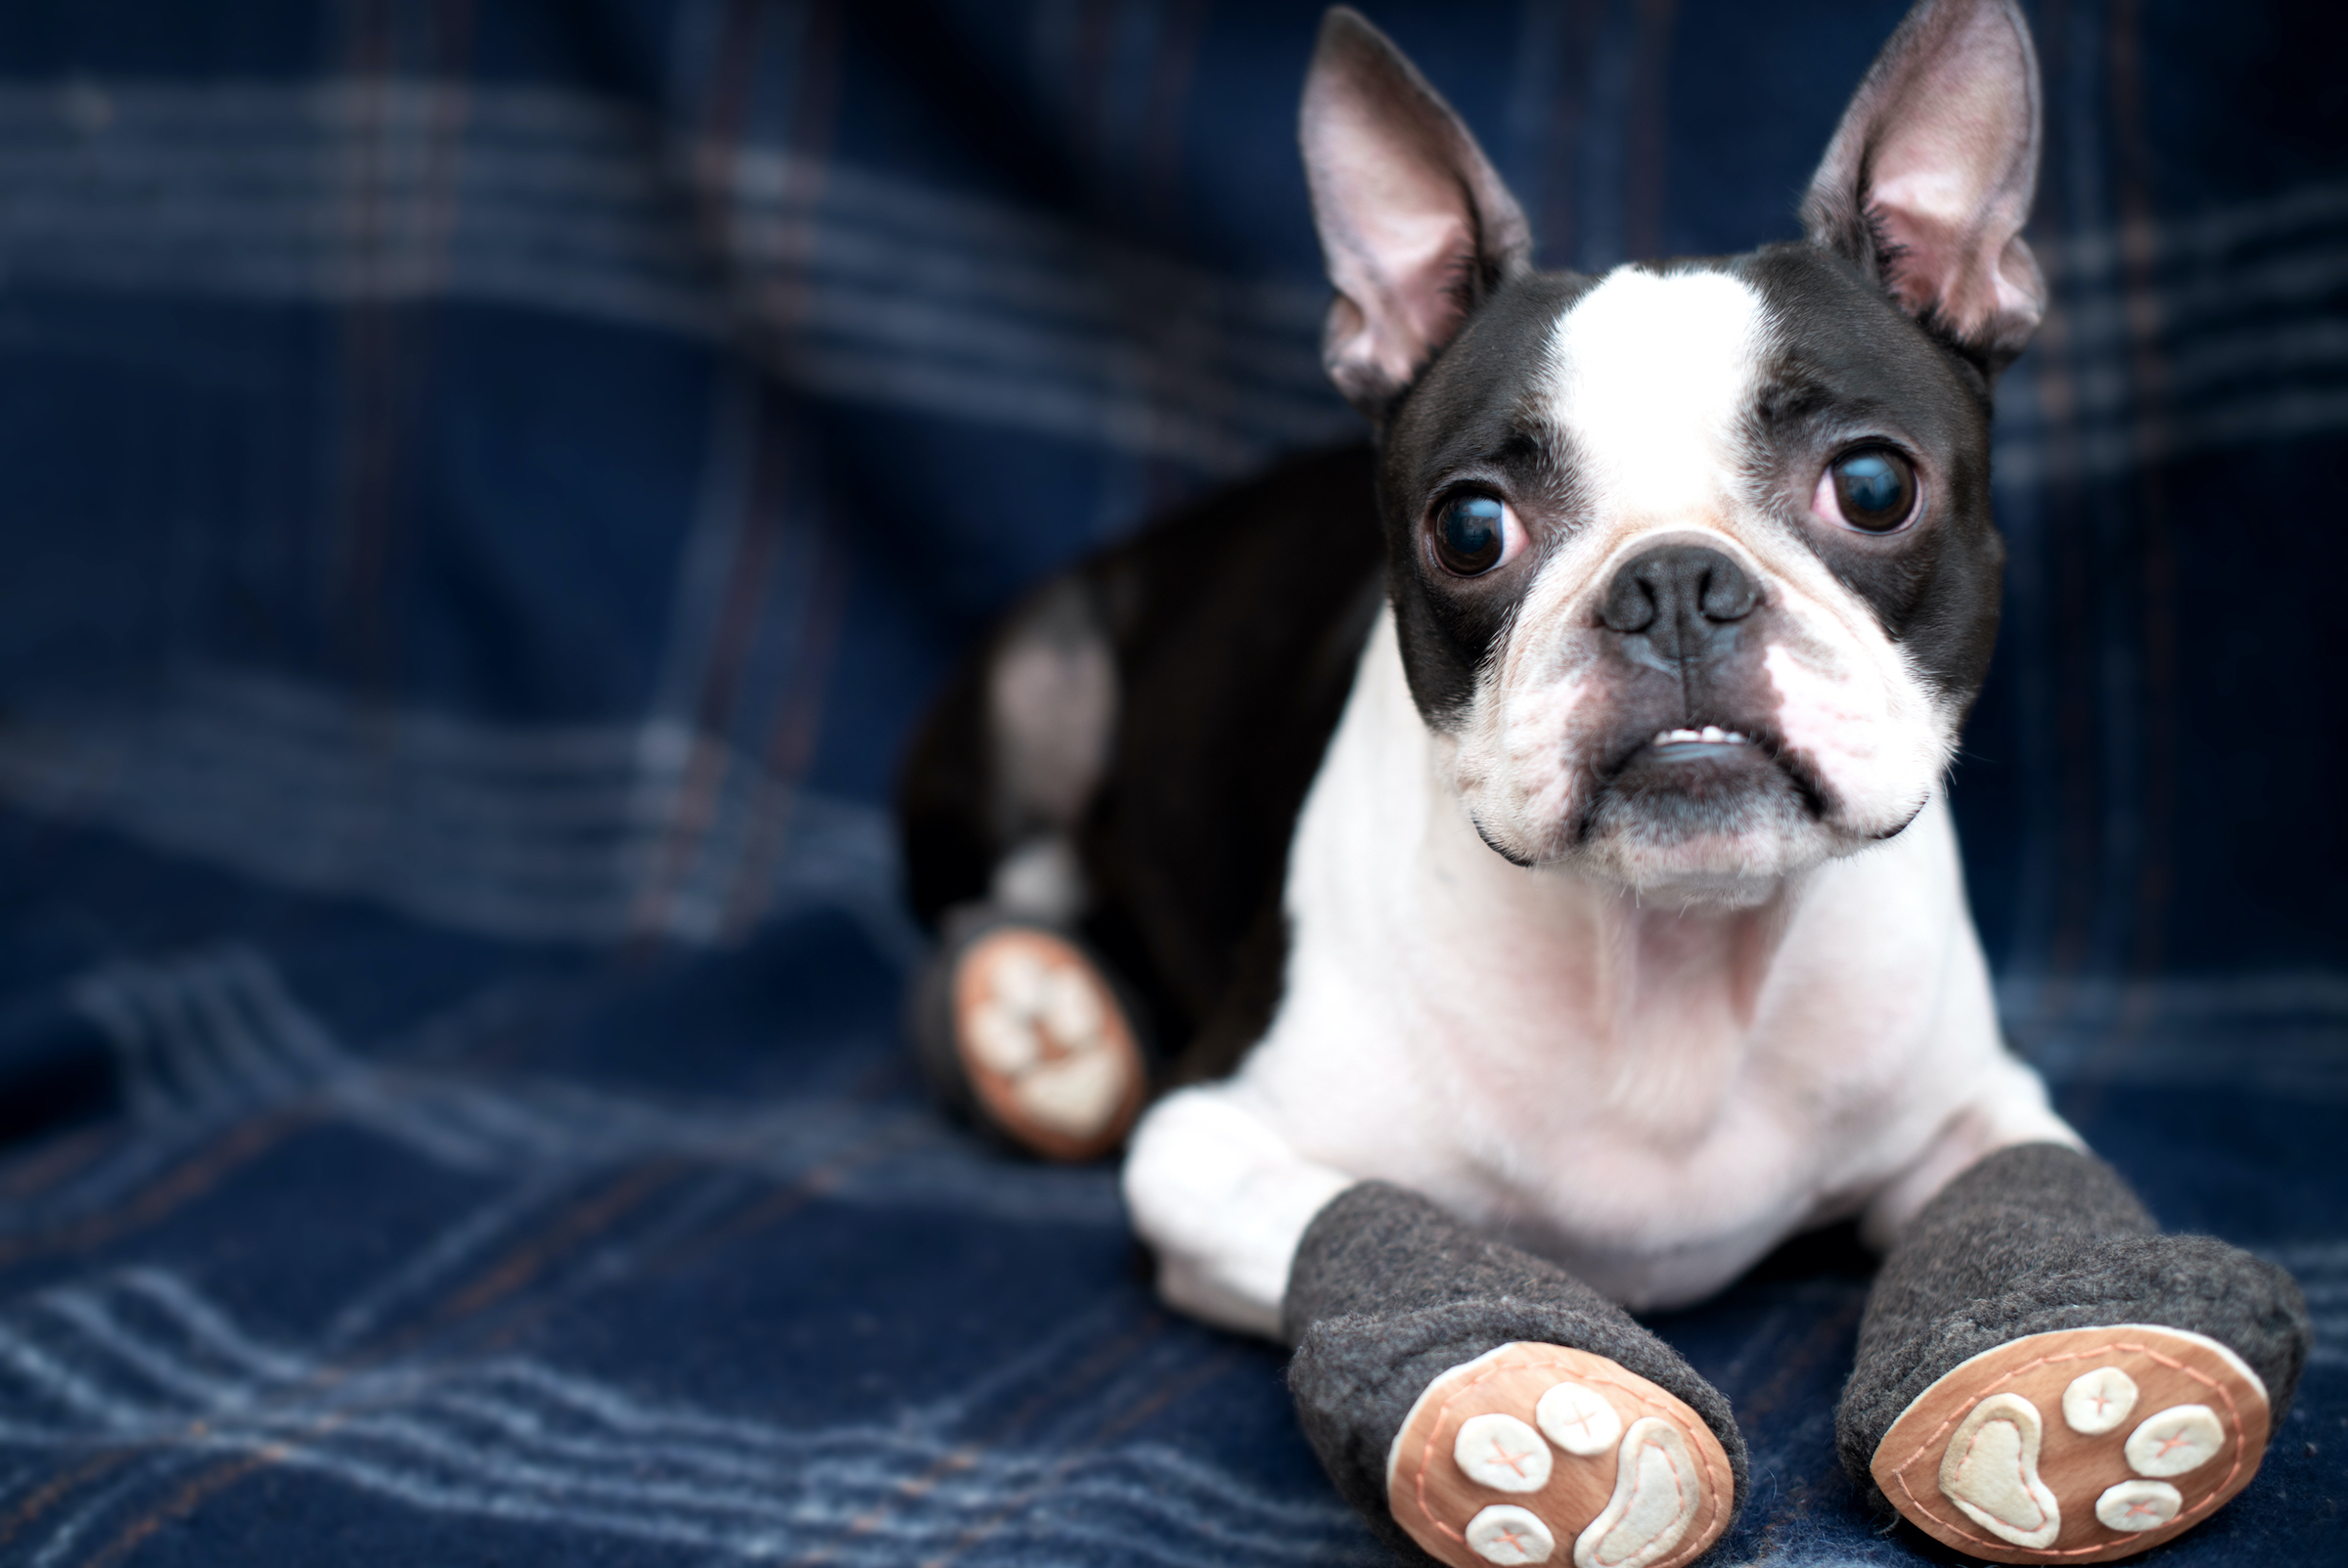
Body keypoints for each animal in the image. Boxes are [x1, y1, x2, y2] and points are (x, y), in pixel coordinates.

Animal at [896, 6, 2310, 1558]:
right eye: (1469, 525)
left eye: (1874, 486)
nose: (1674, 582)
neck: (1674, 947)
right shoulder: (1201, 1144)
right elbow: (1374, 1216)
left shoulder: (1975, 1107)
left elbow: (2016, 1197)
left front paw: (2073, 1388)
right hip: (1041, 680)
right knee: (988, 906)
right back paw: (1034, 1024)